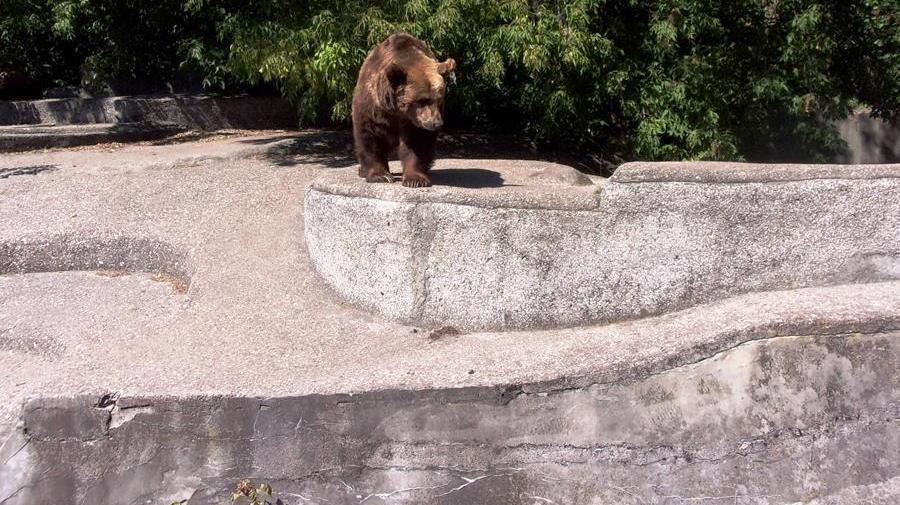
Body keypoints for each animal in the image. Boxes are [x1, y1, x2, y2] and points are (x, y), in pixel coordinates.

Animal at [352, 32, 458, 188]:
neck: (397, 111)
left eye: (439, 100)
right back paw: (363, 171)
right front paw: (380, 176)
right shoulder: (373, 106)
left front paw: (415, 179)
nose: (436, 123)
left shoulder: (415, 121)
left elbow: (417, 142)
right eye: (422, 100)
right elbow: (371, 136)